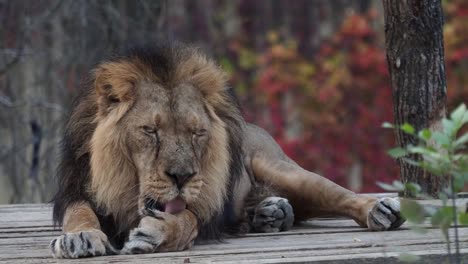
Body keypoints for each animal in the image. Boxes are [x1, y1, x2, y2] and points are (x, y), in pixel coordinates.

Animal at [49, 42, 404, 258]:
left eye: (197, 133)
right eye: (150, 130)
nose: (182, 177)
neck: (124, 189)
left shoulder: (204, 211)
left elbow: (185, 221)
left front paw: (156, 232)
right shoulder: (76, 189)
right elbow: (78, 213)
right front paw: (80, 237)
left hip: (282, 168)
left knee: (337, 194)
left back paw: (380, 209)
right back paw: (272, 212)